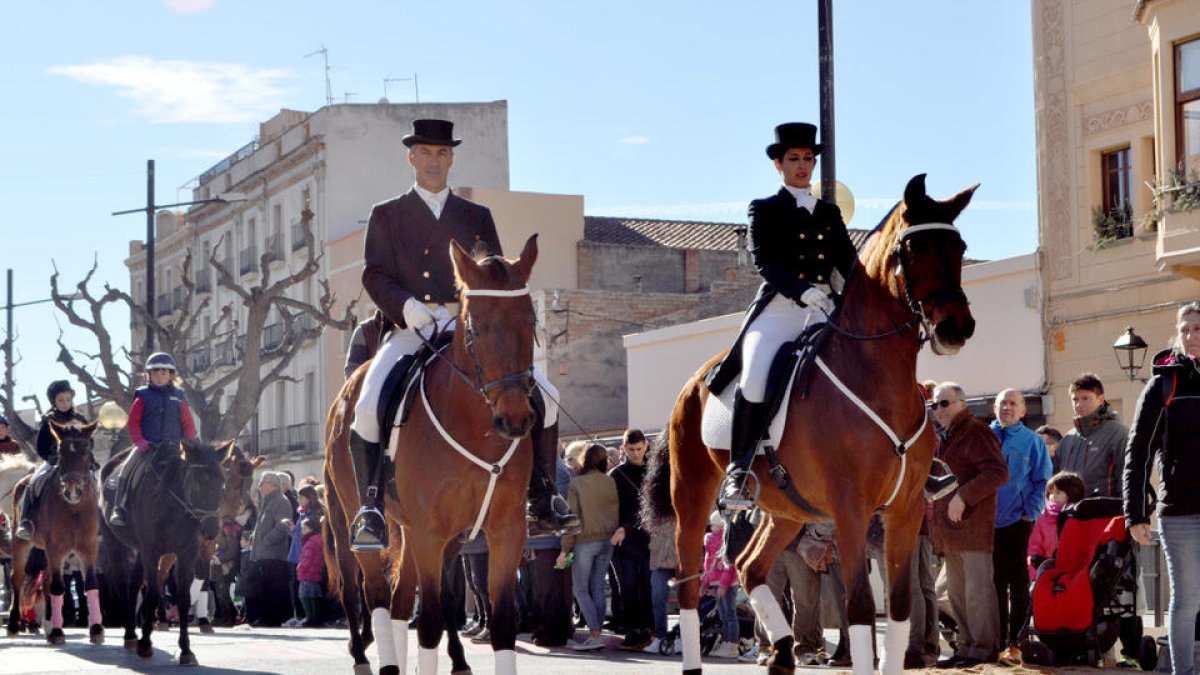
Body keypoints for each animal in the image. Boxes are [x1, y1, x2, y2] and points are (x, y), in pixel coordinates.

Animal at [6, 417, 104, 643]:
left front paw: (96, 629)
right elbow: (59, 587)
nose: (73, 491)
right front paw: (59, 632)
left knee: (47, 581)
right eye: (61, 452)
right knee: (18, 578)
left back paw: (49, 625)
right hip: (22, 543)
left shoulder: (88, 547)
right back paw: (15, 625)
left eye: (86, 451)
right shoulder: (56, 548)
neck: (74, 508)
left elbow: (91, 584)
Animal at [99, 437, 255, 662]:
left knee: (136, 582)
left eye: (221, 482)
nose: (211, 529)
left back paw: (136, 632)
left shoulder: (188, 552)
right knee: (124, 580)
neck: (171, 503)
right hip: (116, 541)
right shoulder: (153, 551)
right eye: (195, 482)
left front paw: (186, 649)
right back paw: (132, 633)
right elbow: (154, 592)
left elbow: (185, 595)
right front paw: (146, 643)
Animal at [324, 233, 540, 672]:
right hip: (362, 521)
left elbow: (501, 623)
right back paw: (374, 658)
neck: (476, 429)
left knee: (401, 599)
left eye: (530, 322)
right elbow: (430, 623)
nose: (515, 419)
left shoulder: (504, 531)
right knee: (375, 594)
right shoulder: (430, 533)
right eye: (476, 328)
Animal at [648, 174, 974, 672]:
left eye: (959, 247)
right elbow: (860, 608)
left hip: (786, 509)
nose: (956, 328)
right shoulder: (851, 509)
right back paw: (695, 663)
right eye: (915, 248)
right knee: (688, 582)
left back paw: (783, 653)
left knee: (749, 566)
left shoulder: (905, 509)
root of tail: (693, 382)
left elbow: (899, 608)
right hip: (692, 494)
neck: (876, 375)